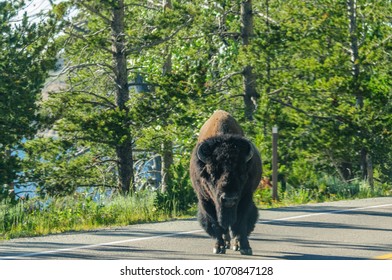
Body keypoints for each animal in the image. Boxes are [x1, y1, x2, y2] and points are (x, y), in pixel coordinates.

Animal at [189, 110, 260, 255]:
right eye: (211, 172)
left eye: (242, 172)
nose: (229, 199)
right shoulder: (205, 200)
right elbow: (216, 224)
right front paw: (218, 247)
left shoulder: (245, 198)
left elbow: (241, 223)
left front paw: (246, 247)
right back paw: (226, 243)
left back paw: (236, 244)